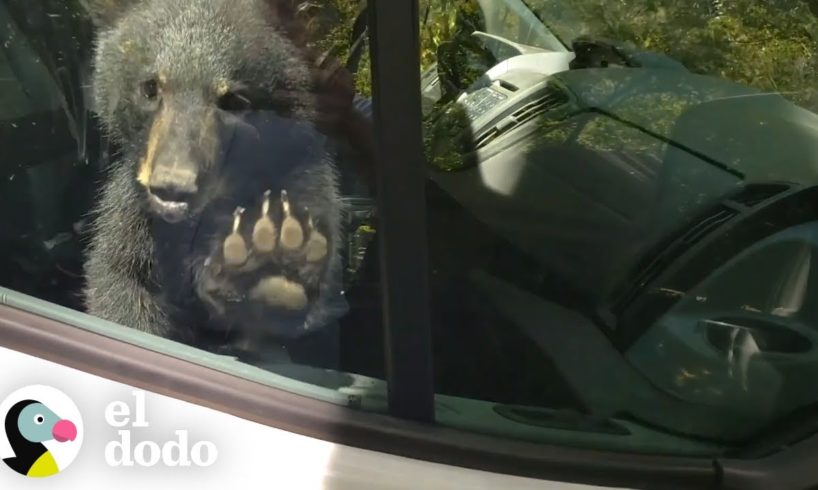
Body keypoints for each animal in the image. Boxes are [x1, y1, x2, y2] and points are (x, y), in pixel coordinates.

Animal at [78, 0, 371, 361]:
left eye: (232, 99)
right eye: (150, 87)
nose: (173, 188)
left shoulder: (307, 184)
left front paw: (277, 251)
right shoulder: (134, 219)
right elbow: (120, 281)